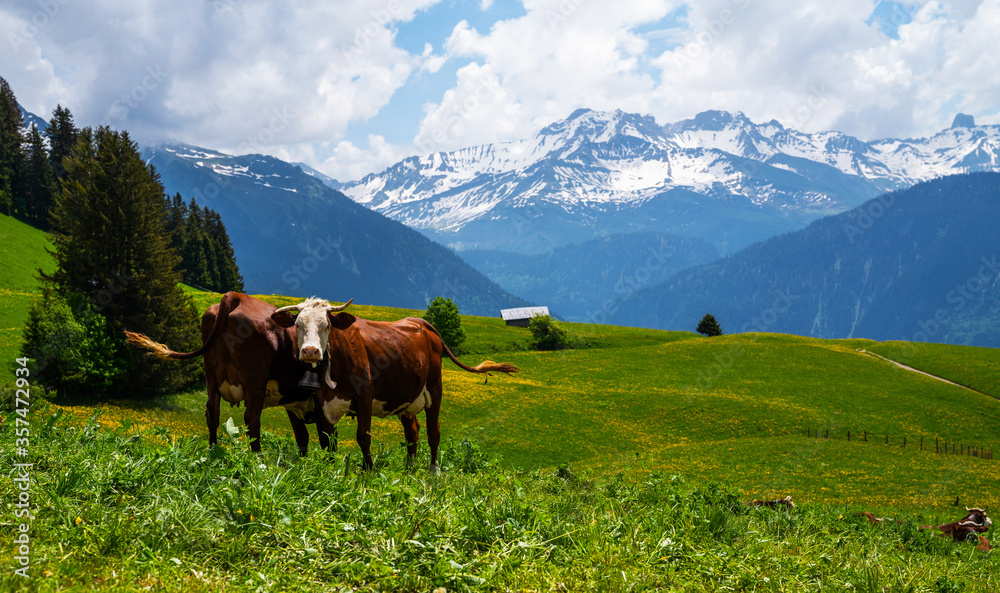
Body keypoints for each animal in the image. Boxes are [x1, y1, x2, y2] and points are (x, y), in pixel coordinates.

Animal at [127, 292, 350, 454]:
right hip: (255, 382)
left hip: (211, 376)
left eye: (326, 325)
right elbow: (328, 440)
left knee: (212, 412)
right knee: (252, 418)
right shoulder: (322, 405)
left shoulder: (294, 403)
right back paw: (258, 459)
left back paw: (213, 452)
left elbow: (303, 438)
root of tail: (237, 296)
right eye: (298, 325)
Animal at [270, 310, 520, 472]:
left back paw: (433, 471)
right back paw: (409, 469)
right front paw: (330, 471)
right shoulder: (323, 404)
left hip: (435, 388)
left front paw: (368, 471)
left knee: (433, 432)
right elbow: (328, 440)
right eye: (297, 325)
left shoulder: (364, 396)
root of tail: (420, 322)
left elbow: (363, 437)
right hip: (406, 398)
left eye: (327, 326)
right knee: (413, 431)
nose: (310, 351)